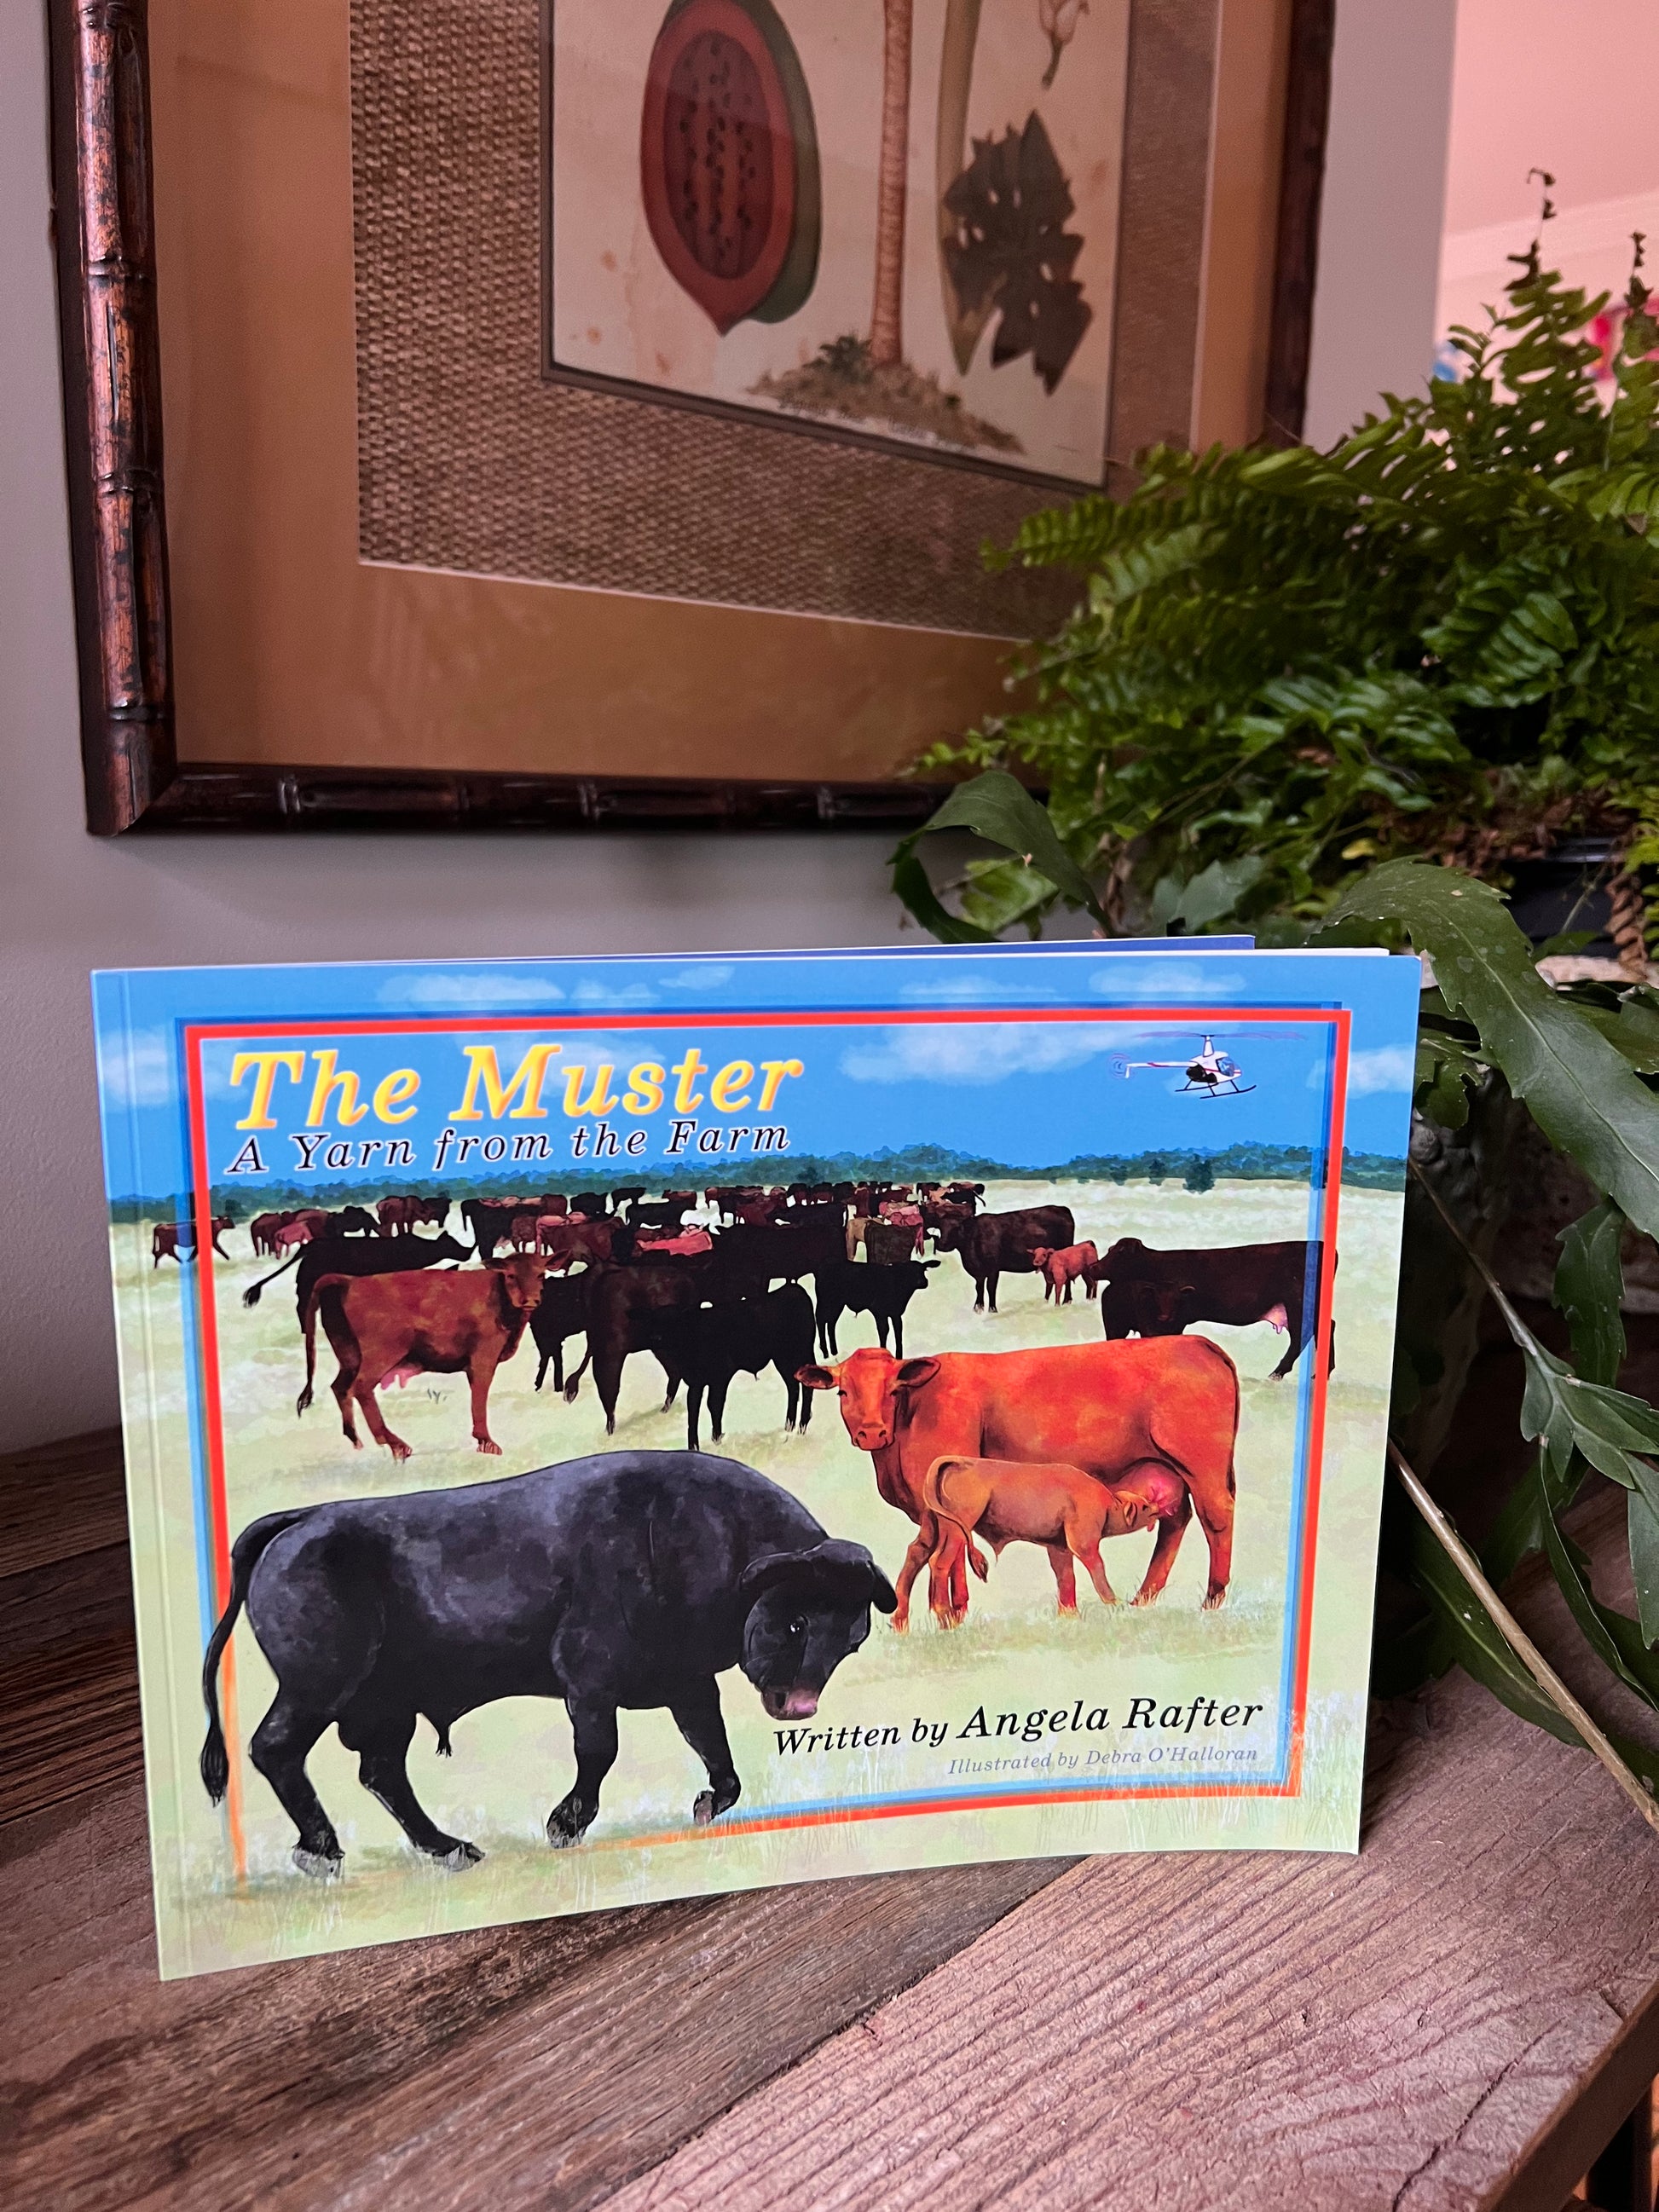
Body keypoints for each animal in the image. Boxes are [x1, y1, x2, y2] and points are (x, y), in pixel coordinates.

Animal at [203, 1451, 898, 1867]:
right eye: (795, 1620)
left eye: (853, 1637)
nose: (799, 1705)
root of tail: (302, 1520)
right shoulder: (589, 1683)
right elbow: (599, 1752)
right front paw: (564, 1825)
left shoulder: (686, 1683)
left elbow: (714, 1747)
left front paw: (704, 1806)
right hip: (316, 1689)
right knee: (276, 1748)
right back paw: (323, 1853)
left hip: (384, 1708)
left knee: (380, 1771)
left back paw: (453, 1850)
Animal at [309, 1256, 548, 1459]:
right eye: (511, 1275)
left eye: (541, 1274)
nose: (530, 1300)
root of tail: (351, 1282)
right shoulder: (483, 1360)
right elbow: (479, 1398)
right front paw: (488, 1443)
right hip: (380, 1357)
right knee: (360, 1388)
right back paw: (397, 1445)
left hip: (349, 1358)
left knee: (340, 1388)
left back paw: (357, 1442)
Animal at [801, 1327, 1239, 1627]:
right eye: (842, 1392)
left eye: (893, 1389)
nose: (872, 1433)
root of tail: (1199, 1343)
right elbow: (952, 1552)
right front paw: (956, 1612)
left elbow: (949, 1549)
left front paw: (950, 1615)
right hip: (1169, 1470)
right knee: (1175, 1520)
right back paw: (1143, 1599)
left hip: (1203, 1468)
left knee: (1216, 1517)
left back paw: (1212, 1600)